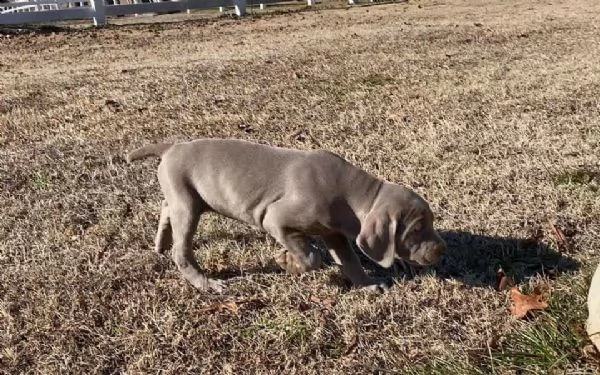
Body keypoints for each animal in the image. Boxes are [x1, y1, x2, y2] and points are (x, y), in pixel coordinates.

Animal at [126, 138, 446, 294]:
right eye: (416, 229)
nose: (441, 250)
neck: (357, 194)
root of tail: (171, 147)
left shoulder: (334, 233)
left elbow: (350, 261)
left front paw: (367, 285)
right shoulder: (275, 218)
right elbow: (311, 256)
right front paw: (286, 261)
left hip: (185, 197)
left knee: (166, 208)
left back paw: (160, 244)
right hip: (187, 203)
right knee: (181, 251)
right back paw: (206, 284)